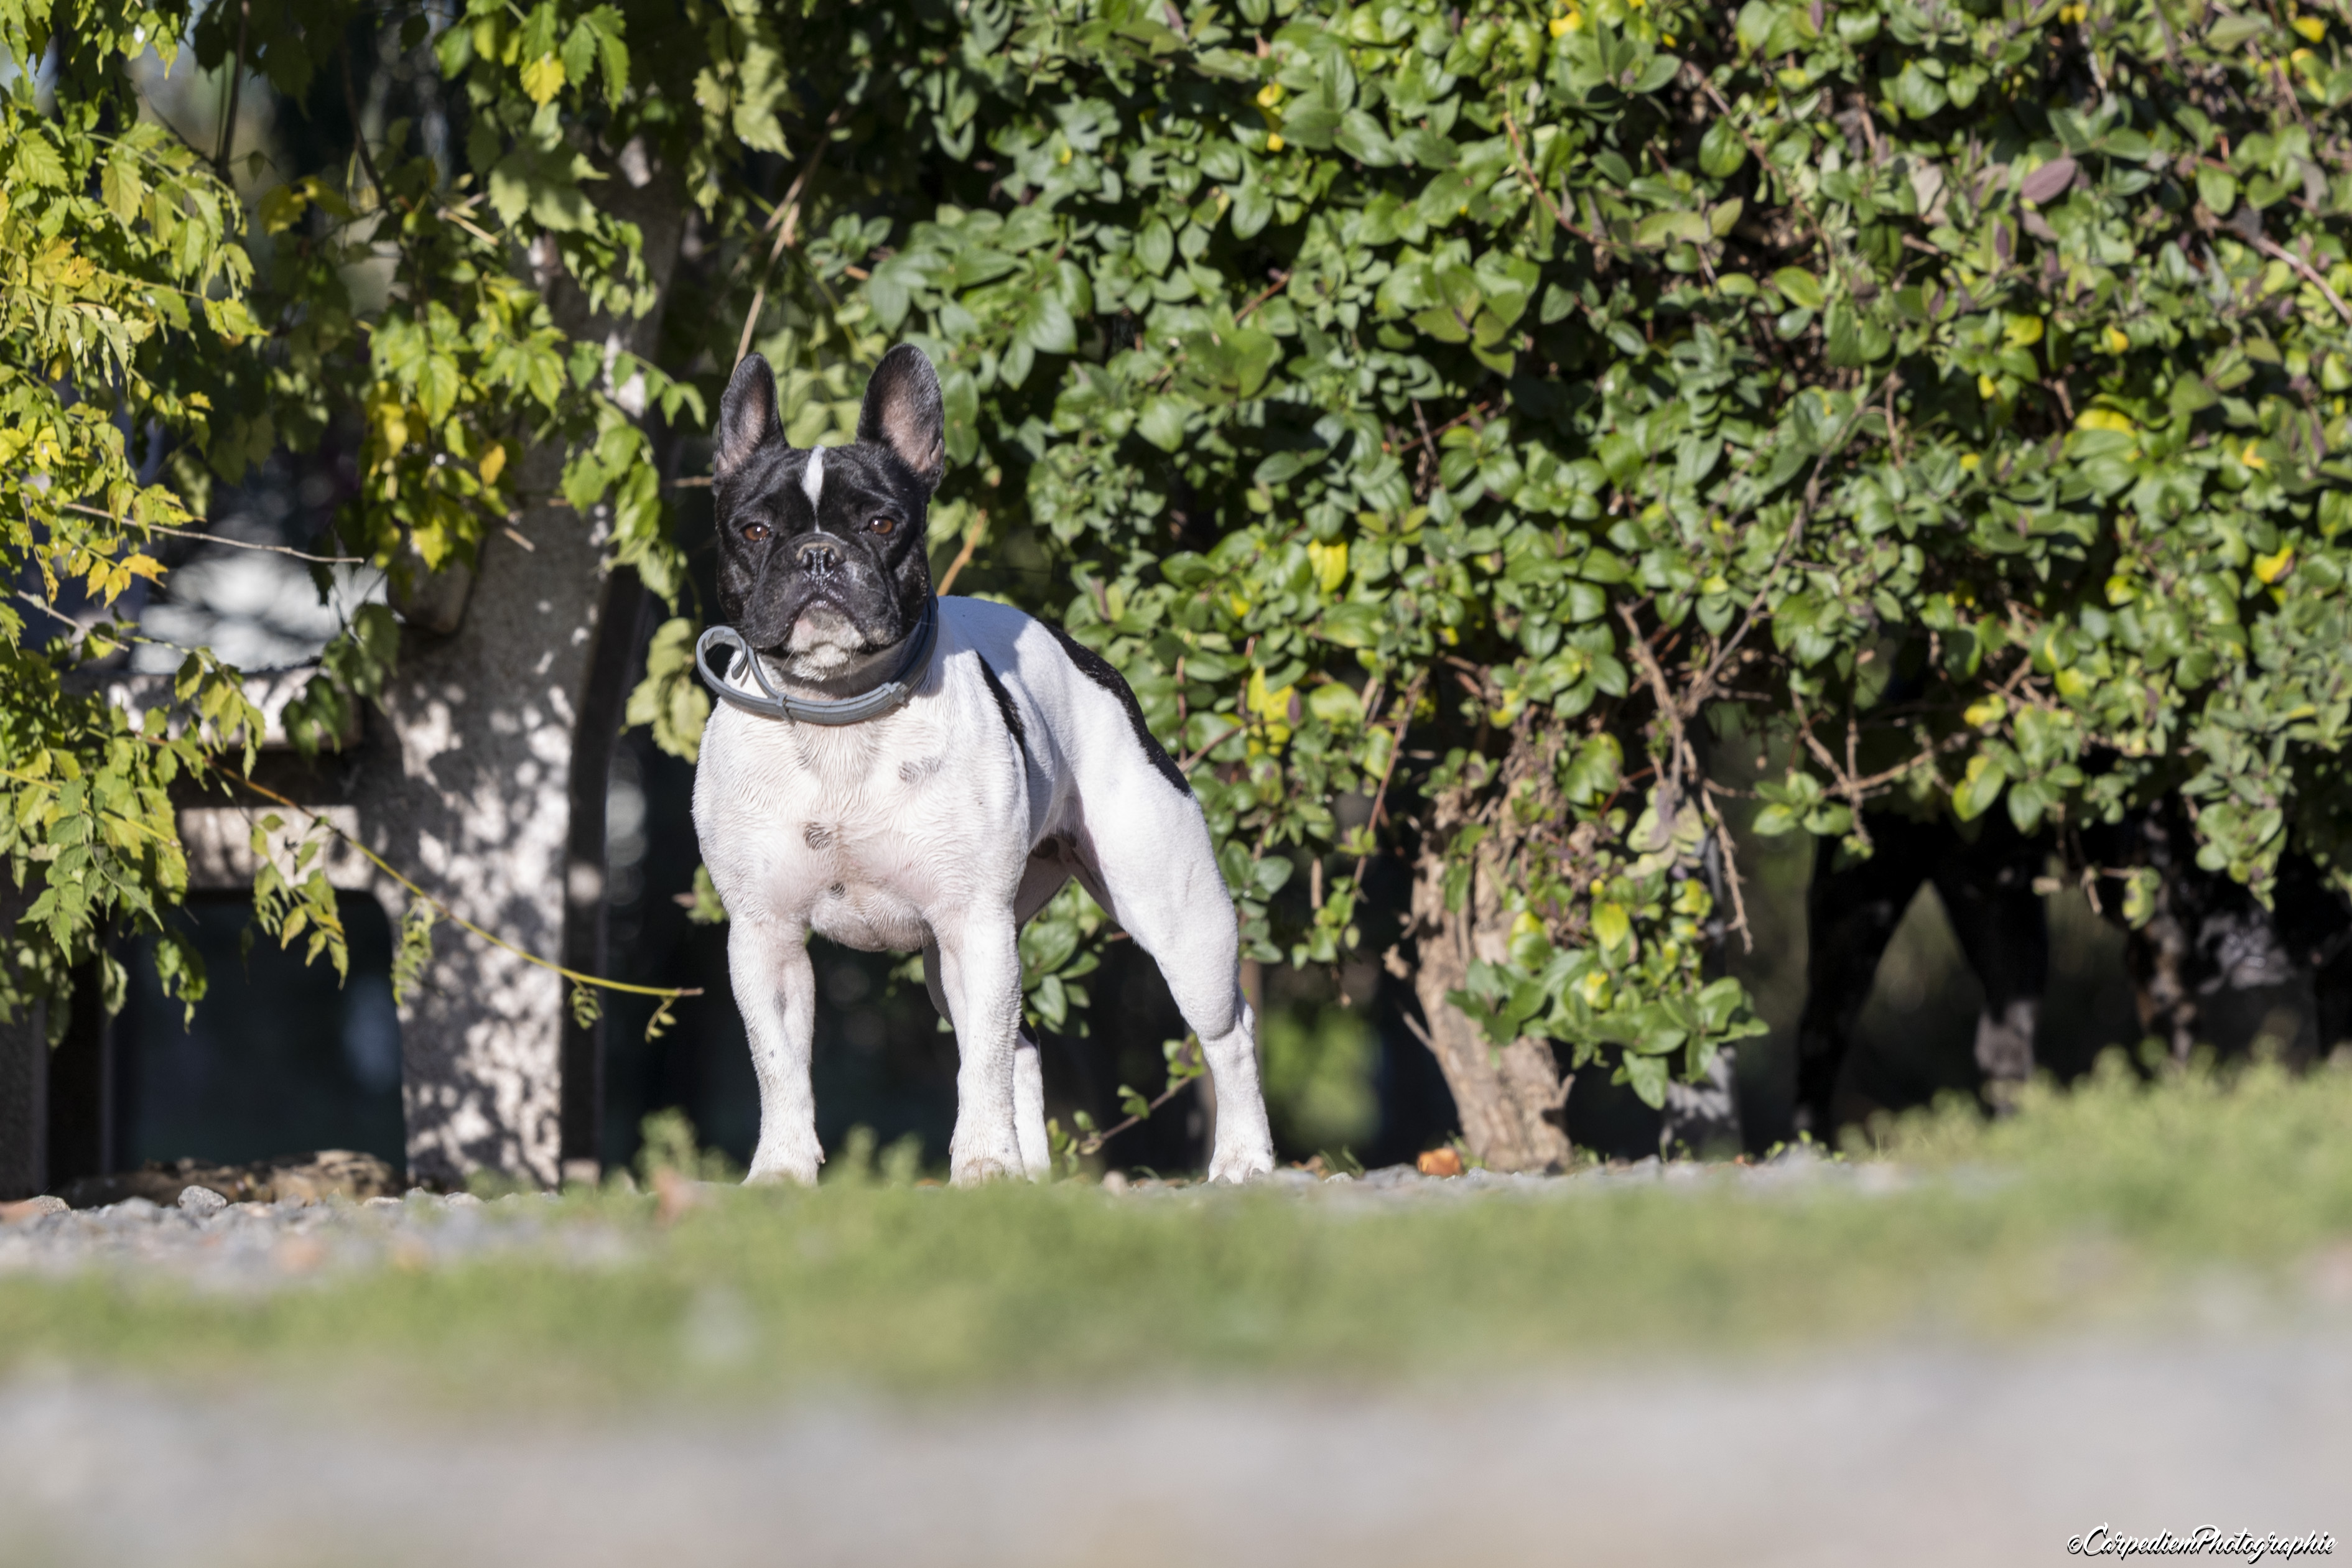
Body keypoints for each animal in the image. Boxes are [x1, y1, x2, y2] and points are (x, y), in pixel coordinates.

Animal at [689, 344, 1276, 1186]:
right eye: (755, 528)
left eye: (882, 523)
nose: (819, 555)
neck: (839, 711)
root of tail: (1085, 655)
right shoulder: (765, 935)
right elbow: (779, 1065)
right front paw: (781, 1171)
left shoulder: (975, 922)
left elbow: (981, 1065)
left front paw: (985, 1161)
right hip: (952, 957)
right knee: (1018, 1046)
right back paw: (1028, 1176)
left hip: (1176, 917)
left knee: (1225, 1032)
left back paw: (1242, 1157)